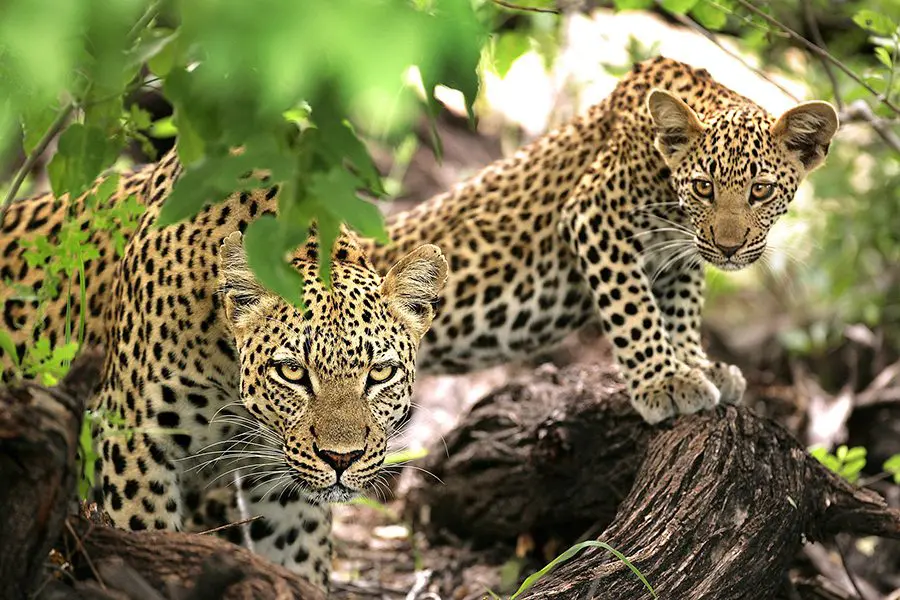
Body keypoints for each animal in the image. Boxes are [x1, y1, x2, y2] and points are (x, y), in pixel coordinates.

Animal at [0, 151, 448, 592]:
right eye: (292, 372)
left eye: (380, 374)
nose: (342, 459)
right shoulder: (134, 440)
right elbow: (145, 533)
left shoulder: (281, 477)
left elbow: (299, 558)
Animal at [362, 56, 840, 422]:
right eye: (704, 187)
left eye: (761, 190)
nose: (728, 248)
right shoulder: (594, 214)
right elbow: (634, 308)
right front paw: (665, 381)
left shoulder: (680, 249)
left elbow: (682, 307)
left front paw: (697, 364)